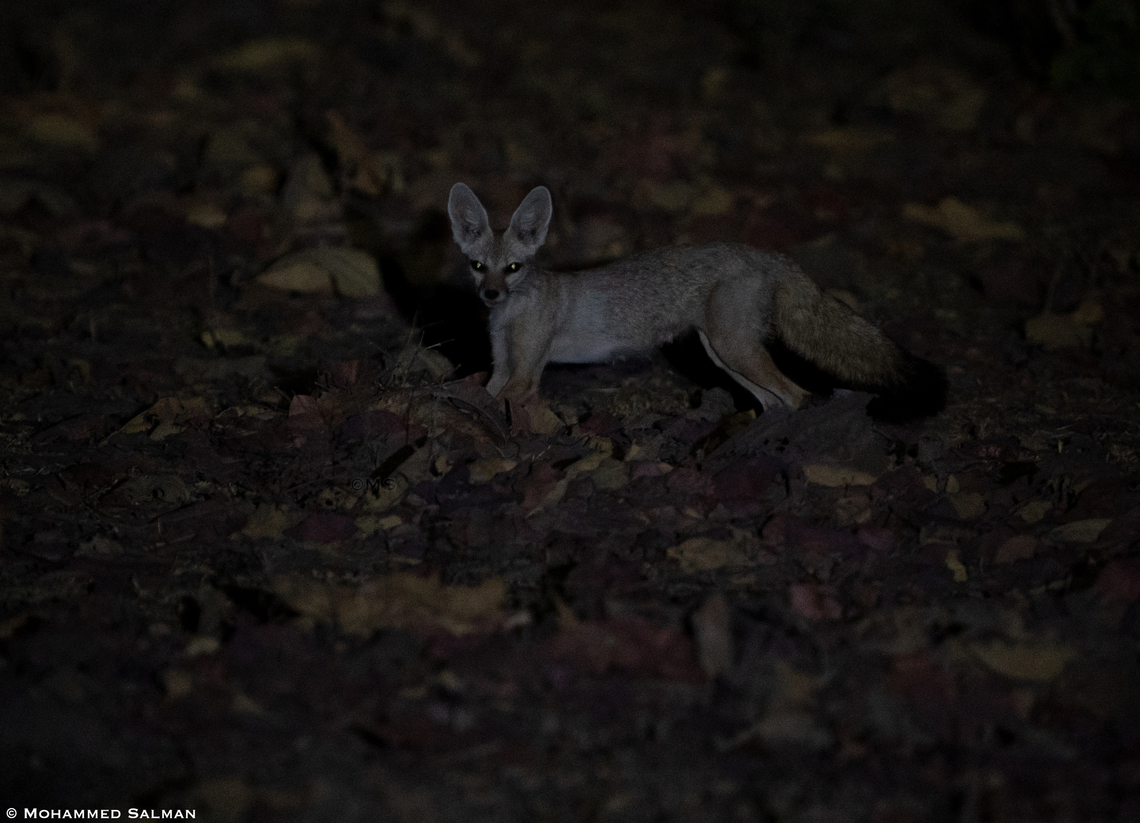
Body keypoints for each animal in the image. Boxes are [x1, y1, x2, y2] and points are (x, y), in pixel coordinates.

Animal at [448, 182, 946, 422]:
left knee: (798, 396)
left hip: (733, 349)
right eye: (478, 266)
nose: (491, 295)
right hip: (723, 354)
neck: (509, 316)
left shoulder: (527, 372)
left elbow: (494, 405)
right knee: (776, 402)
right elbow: (483, 394)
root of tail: (769, 254)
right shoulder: (503, 366)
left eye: (513, 267)